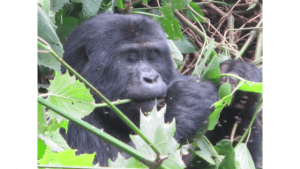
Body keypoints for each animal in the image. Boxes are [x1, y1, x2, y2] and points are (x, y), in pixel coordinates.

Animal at [59, 13, 262, 168]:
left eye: (153, 56)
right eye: (131, 58)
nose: (151, 78)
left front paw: (241, 78)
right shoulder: (73, 117)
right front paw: (186, 100)